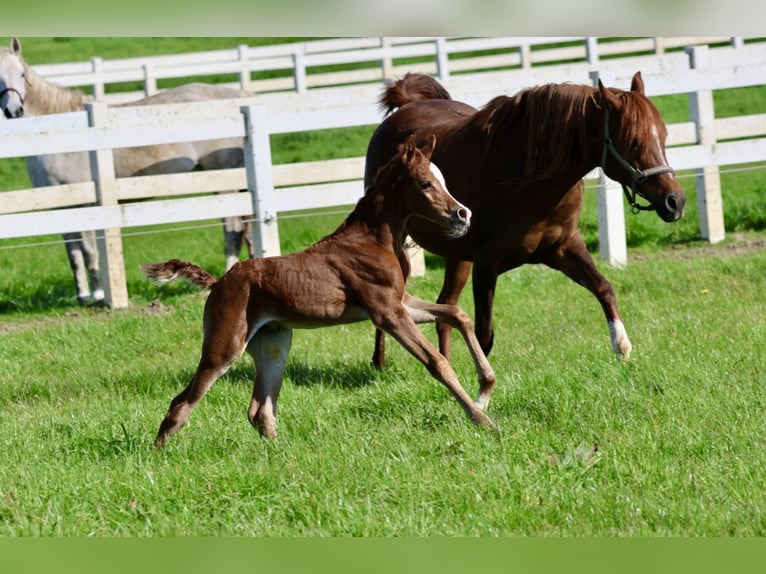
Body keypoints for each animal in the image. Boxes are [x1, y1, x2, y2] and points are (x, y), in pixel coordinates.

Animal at [0, 36, 255, 306]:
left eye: (21, 73)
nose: (14, 111)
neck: (61, 130)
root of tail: (237, 97)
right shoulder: (62, 207)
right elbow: (74, 254)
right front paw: (82, 295)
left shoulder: (85, 206)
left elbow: (89, 251)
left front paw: (98, 294)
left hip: (226, 184)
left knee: (233, 231)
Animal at [143, 137, 498, 448]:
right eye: (425, 183)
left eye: (444, 181)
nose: (463, 214)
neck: (371, 239)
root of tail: (218, 283)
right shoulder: (387, 312)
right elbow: (437, 361)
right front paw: (482, 420)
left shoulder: (401, 303)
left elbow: (457, 314)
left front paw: (486, 389)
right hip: (225, 346)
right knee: (182, 403)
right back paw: (158, 456)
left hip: (273, 343)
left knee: (260, 410)